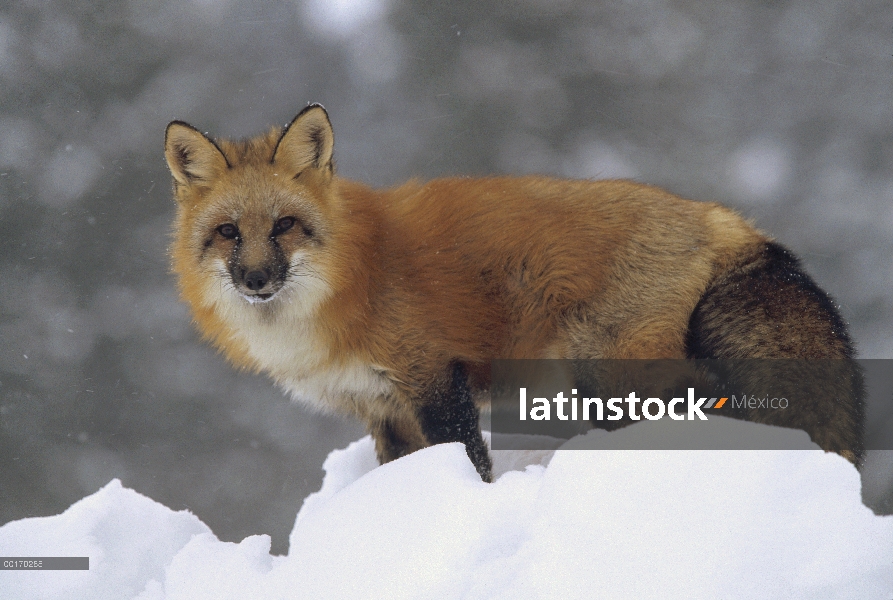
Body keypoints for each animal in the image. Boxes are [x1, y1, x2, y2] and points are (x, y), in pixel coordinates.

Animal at [164, 102, 860, 478]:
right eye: (228, 233)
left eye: (285, 225)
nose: (257, 280)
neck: (348, 282)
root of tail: (719, 217)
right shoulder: (382, 408)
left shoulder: (431, 376)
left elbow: (470, 460)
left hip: (609, 375)